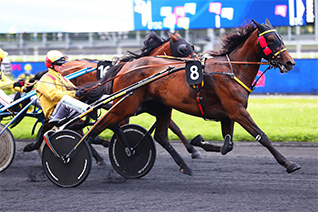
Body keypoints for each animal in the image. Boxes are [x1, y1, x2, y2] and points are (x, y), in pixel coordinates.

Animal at [84, 19, 300, 176]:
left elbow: (228, 145)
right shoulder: (237, 111)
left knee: (159, 136)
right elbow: (262, 136)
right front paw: (289, 163)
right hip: (125, 106)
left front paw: (199, 143)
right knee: (102, 126)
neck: (231, 69)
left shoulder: (229, 114)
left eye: (280, 37)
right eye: (271, 39)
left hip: (159, 107)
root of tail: (127, 66)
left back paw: (183, 166)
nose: (290, 62)